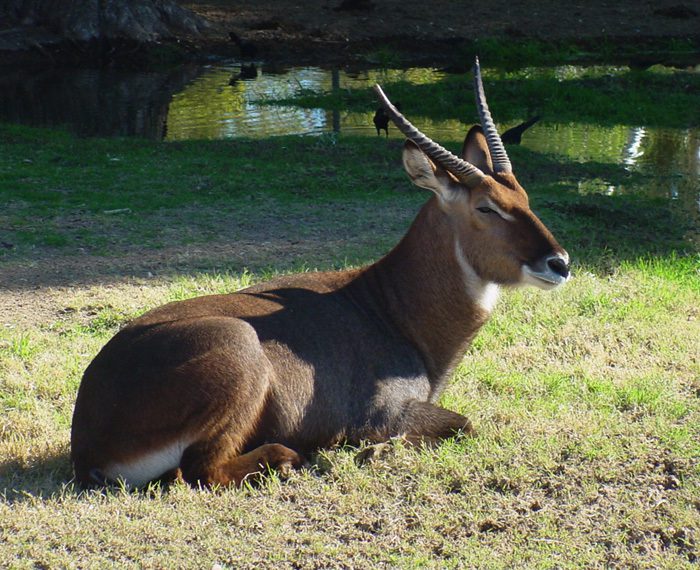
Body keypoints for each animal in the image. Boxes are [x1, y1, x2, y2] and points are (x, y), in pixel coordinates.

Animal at [71, 58, 572, 488]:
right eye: (486, 207)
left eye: (524, 197)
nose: (560, 263)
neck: (390, 304)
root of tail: (86, 443)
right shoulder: (381, 413)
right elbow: (464, 425)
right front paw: (370, 452)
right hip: (238, 346)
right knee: (200, 470)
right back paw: (293, 457)